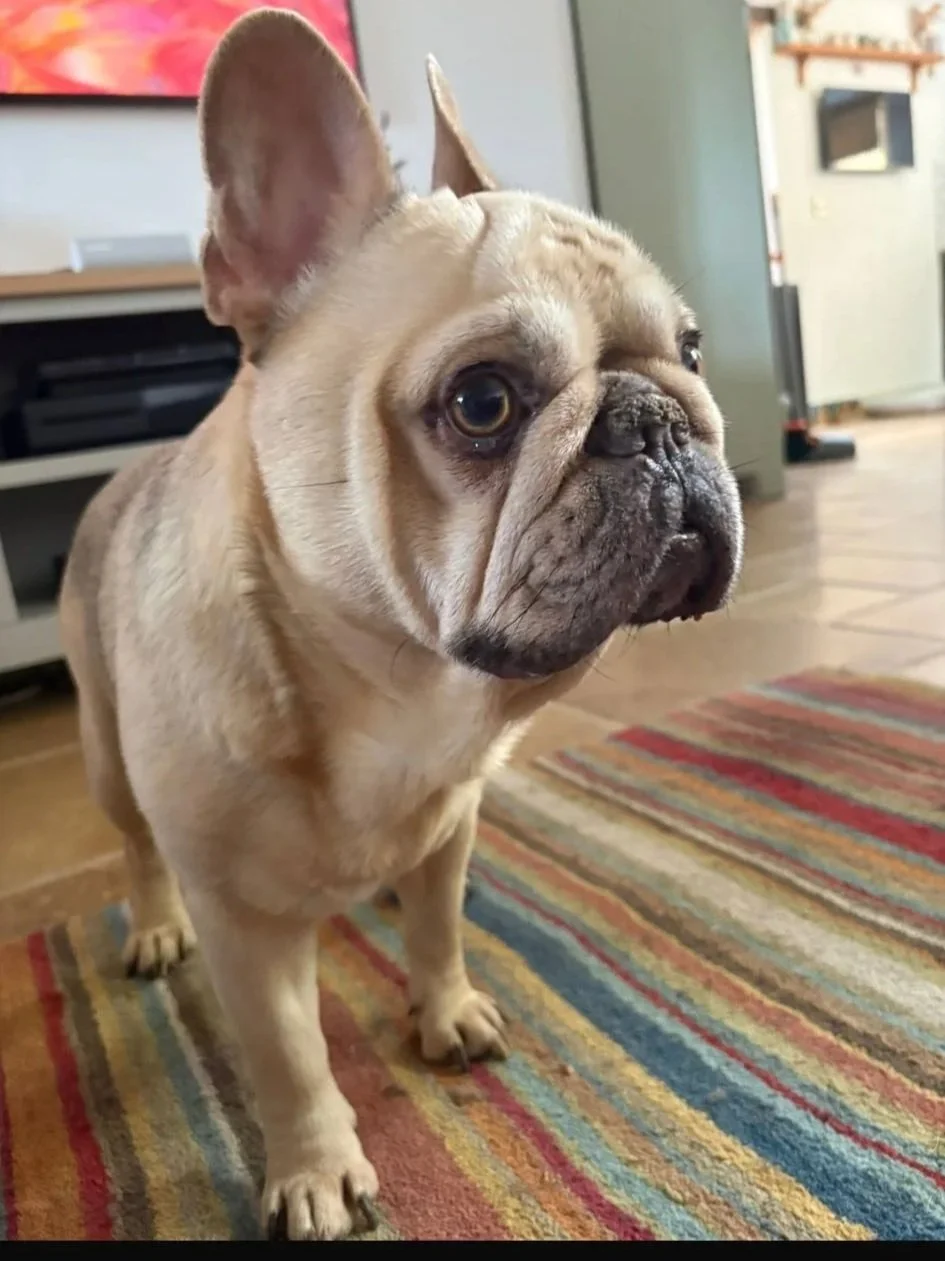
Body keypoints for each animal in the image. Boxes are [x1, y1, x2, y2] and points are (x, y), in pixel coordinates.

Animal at [59, 8, 743, 1241]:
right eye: (482, 402)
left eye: (693, 349)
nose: (659, 418)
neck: (396, 694)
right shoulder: (247, 926)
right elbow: (288, 1056)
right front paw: (317, 1168)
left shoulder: (451, 826)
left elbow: (438, 928)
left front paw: (446, 1009)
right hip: (105, 761)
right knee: (136, 846)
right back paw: (151, 925)